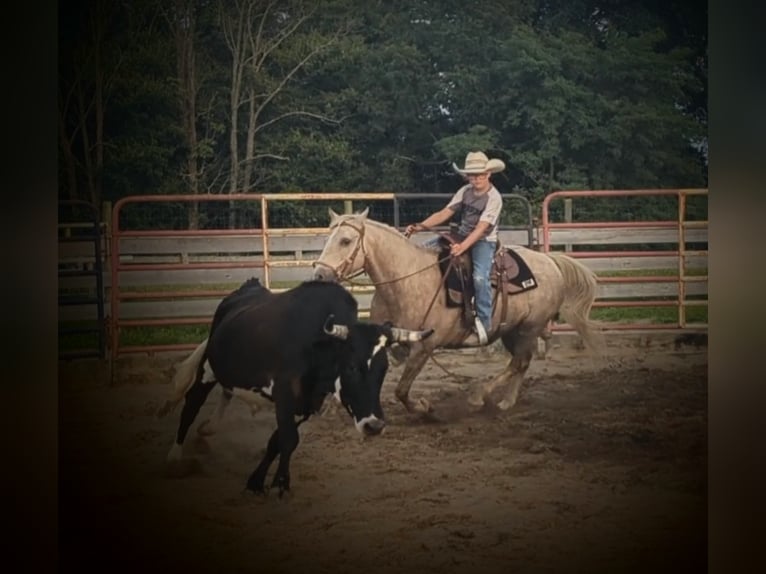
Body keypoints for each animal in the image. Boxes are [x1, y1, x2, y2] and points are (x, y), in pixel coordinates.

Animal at [166, 282, 436, 498]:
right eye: (351, 366)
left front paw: (256, 482)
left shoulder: (306, 404)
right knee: (190, 408)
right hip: (207, 371)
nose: (374, 426)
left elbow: (277, 441)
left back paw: (208, 428)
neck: (315, 345)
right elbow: (288, 439)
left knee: (225, 394)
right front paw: (280, 485)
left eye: (384, 368)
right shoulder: (285, 397)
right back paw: (176, 458)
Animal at [312, 209, 608, 416]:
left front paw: (423, 407)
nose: (320, 275)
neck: (405, 281)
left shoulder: (424, 347)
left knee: (518, 362)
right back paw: (506, 401)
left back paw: (480, 396)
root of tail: (550, 260)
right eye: (328, 239)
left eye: (346, 240)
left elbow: (401, 389)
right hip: (511, 330)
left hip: (529, 327)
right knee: (521, 362)